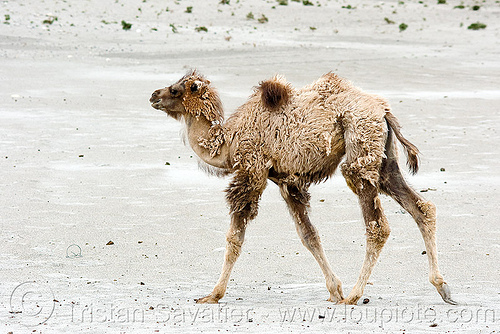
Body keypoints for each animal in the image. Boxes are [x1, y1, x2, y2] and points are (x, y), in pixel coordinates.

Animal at [148, 70, 458, 306]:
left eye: (176, 89)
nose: (153, 95)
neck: (228, 142)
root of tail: (383, 111)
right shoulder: (287, 180)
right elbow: (309, 235)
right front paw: (334, 290)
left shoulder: (252, 170)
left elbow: (235, 238)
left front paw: (213, 294)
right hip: (384, 160)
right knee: (422, 207)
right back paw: (443, 287)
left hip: (360, 148)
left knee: (377, 225)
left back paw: (355, 296)